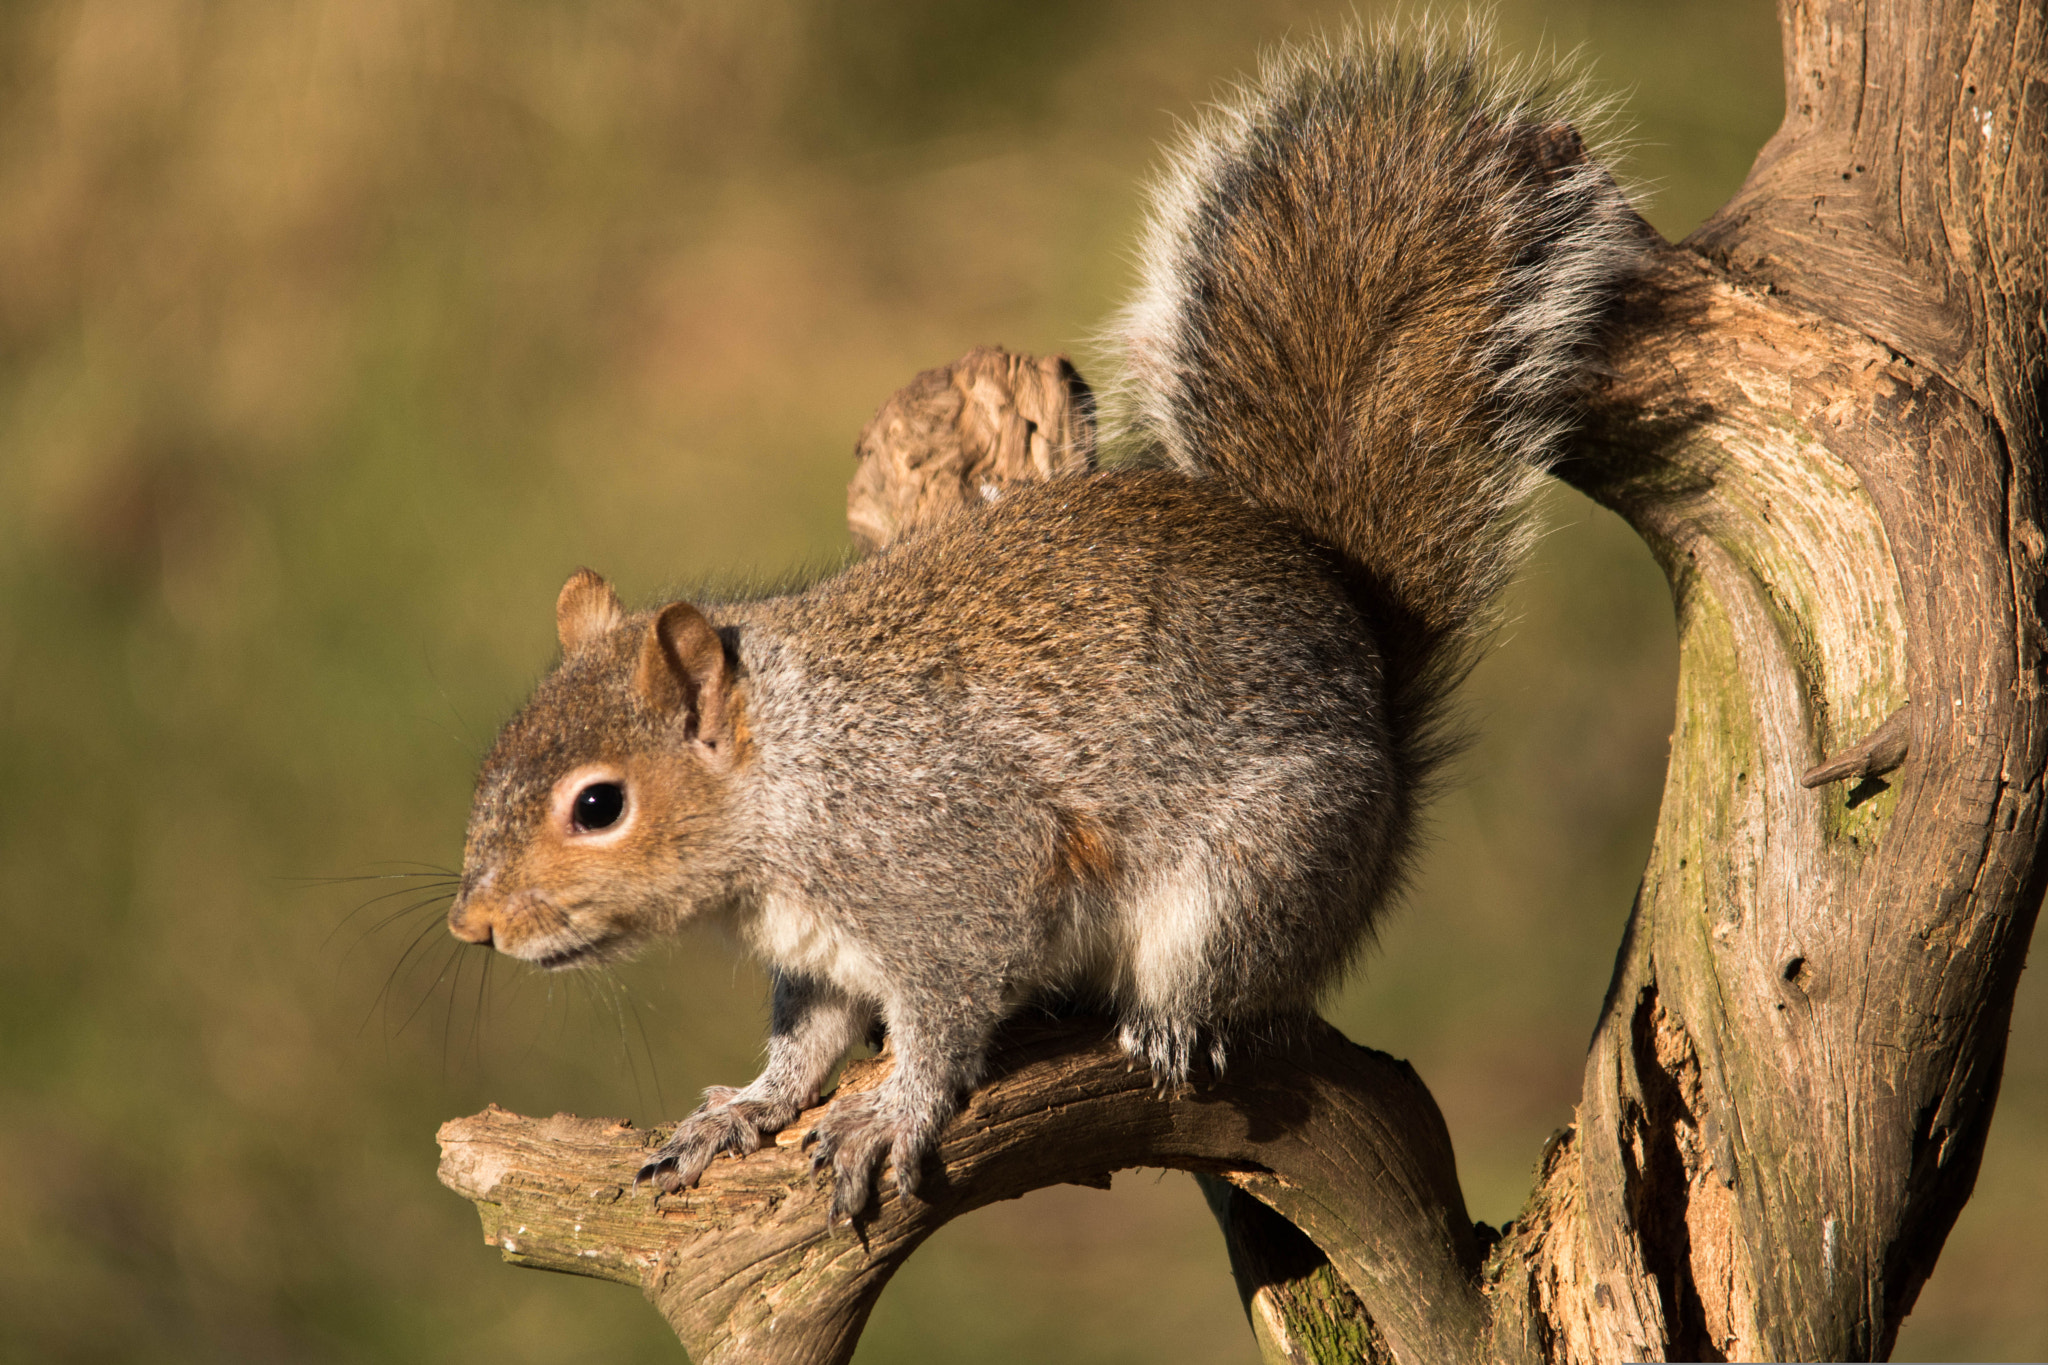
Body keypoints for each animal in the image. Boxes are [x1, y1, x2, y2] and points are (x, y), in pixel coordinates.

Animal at [445, 27, 1637, 1223]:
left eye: (598, 806)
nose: (473, 927)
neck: (792, 774)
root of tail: (1377, 708)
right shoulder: (824, 948)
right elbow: (809, 1040)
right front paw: (745, 1106)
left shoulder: (951, 869)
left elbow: (943, 1017)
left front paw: (894, 1112)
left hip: (1258, 867)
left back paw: (1172, 1020)